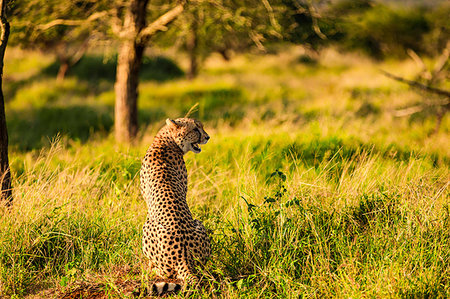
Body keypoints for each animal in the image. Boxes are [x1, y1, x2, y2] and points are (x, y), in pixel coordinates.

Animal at [141, 118, 211, 296]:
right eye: (196, 129)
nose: (207, 137)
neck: (167, 140)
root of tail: (182, 255)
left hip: (147, 225)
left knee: (164, 272)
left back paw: (150, 268)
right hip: (199, 225)